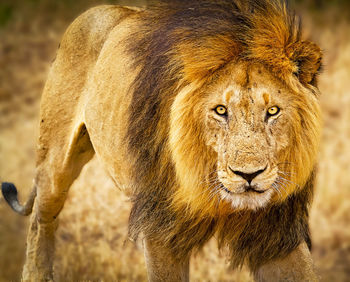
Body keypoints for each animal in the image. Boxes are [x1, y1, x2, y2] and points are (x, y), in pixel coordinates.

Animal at [1, 0, 322, 280]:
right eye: (220, 110)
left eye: (273, 111)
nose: (248, 174)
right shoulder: (160, 229)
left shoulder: (276, 233)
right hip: (55, 161)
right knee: (41, 220)